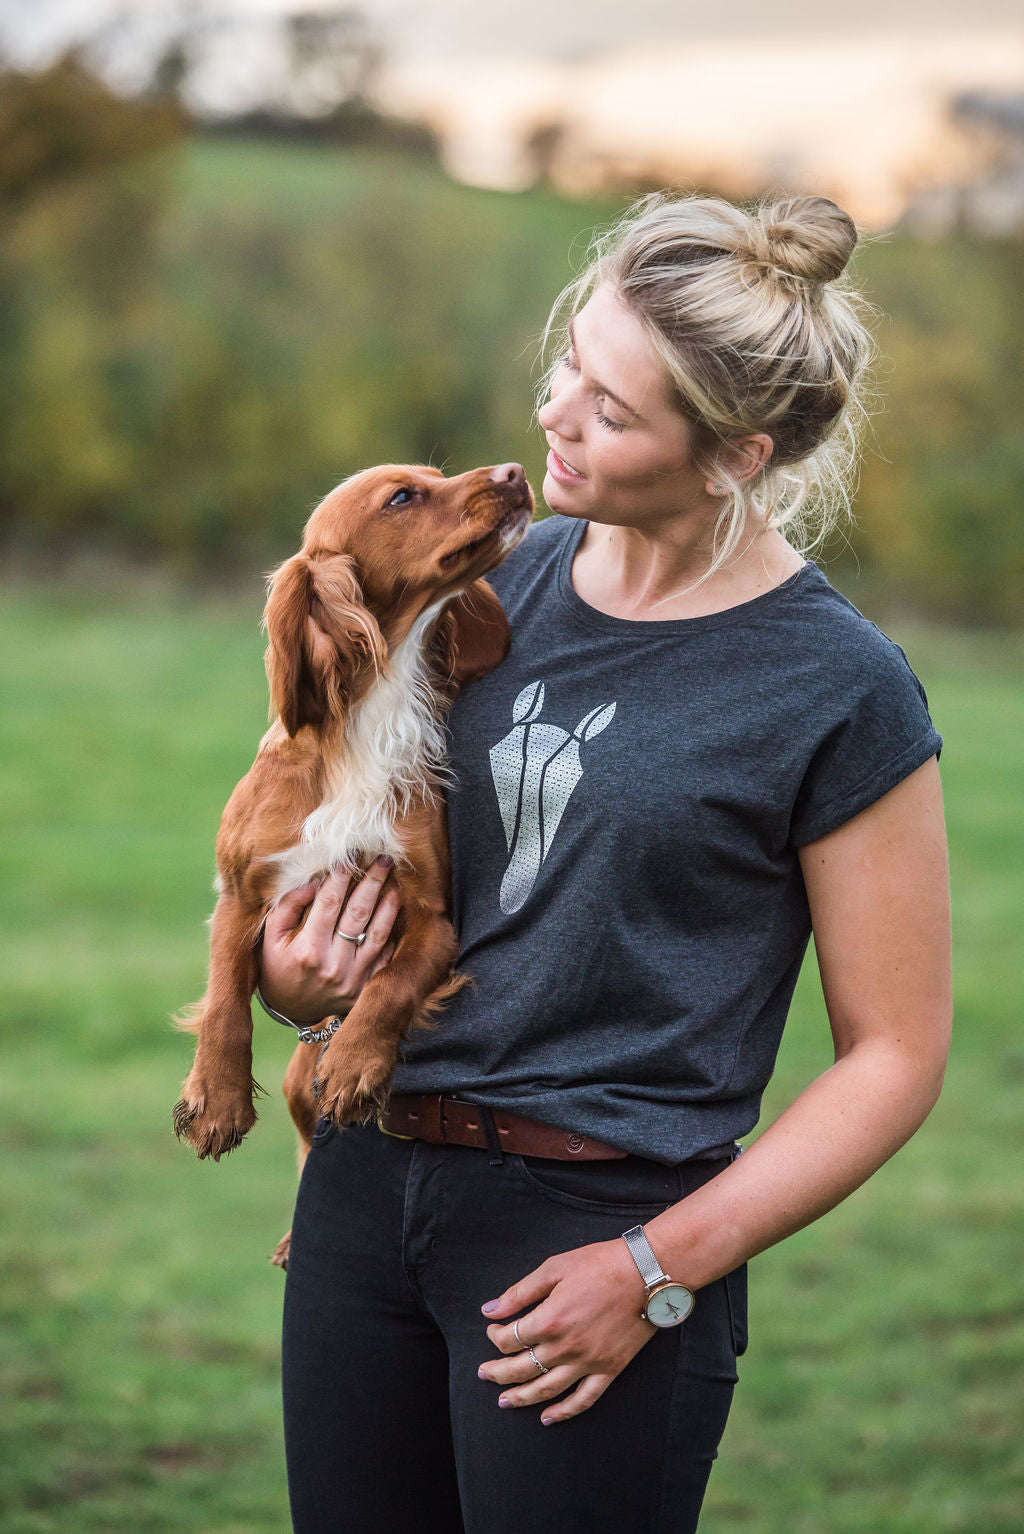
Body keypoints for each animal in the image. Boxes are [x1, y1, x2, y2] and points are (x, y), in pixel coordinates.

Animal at [171, 457, 533, 1171]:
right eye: (402, 497)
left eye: (437, 474)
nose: (514, 470)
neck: (366, 723)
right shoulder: (241, 892)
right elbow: (225, 997)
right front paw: (217, 1099)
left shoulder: (432, 916)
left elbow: (392, 983)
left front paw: (353, 1064)